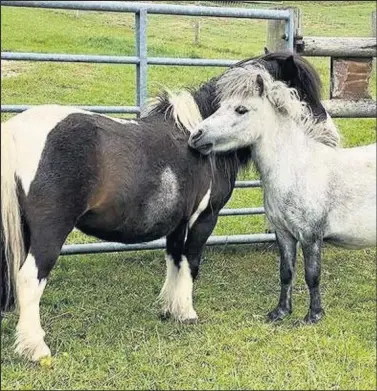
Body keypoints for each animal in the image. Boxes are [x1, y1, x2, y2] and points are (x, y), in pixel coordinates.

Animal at [0, 51, 334, 362]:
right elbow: (191, 262)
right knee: (29, 278)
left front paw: (169, 309)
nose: (330, 135)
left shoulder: (179, 222)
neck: (199, 139)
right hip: (51, 232)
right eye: (301, 91)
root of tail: (15, 130)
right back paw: (35, 347)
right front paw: (186, 313)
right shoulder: (204, 218)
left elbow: (175, 260)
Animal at [188, 65, 374, 324]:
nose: (196, 135)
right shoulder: (284, 234)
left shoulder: (310, 236)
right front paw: (280, 312)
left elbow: (312, 275)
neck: (296, 168)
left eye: (241, 109)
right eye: (221, 106)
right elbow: (286, 272)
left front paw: (313, 316)